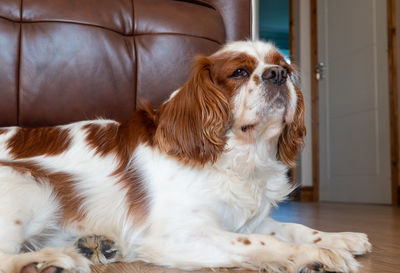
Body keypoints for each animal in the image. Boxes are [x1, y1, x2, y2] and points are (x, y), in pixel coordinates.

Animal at [0, 41, 372, 272]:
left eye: (284, 67)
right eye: (239, 72)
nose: (278, 75)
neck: (236, 155)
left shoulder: (247, 219)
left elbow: (293, 227)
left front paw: (340, 238)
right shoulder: (177, 235)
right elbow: (257, 241)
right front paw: (315, 255)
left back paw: (94, 245)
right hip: (30, 187)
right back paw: (49, 262)